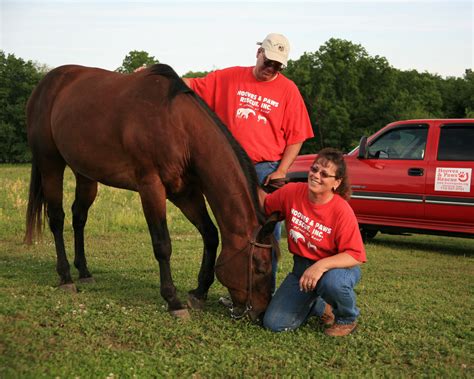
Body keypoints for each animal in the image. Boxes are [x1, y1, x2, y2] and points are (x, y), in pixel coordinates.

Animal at [25, 64, 278, 320]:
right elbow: (162, 244)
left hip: (85, 174)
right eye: (260, 267)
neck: (178, 126)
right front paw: (173, 300)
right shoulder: (151, 188)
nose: (260, 314)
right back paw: (66, 277)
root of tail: (46, 83)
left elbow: (209, 234)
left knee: (79, 217)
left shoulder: (185, 192)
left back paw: (84, 272)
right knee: (57, 219)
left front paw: (198, 292)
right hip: (50, 164)